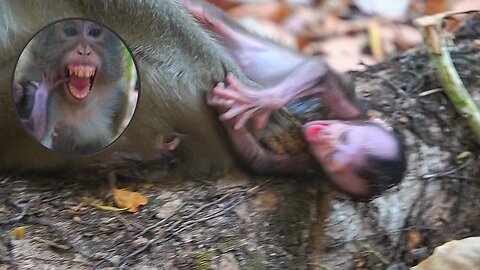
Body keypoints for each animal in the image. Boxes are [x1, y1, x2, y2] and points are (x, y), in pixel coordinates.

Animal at [182, 0, 406, 198]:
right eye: (345, 137)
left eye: (332, 156)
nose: (322, 135)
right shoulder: (350, 108)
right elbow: (321, 71)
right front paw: (261, 101)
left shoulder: (310, 163)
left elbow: (258, 159)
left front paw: (232, 114)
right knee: (211, 19)